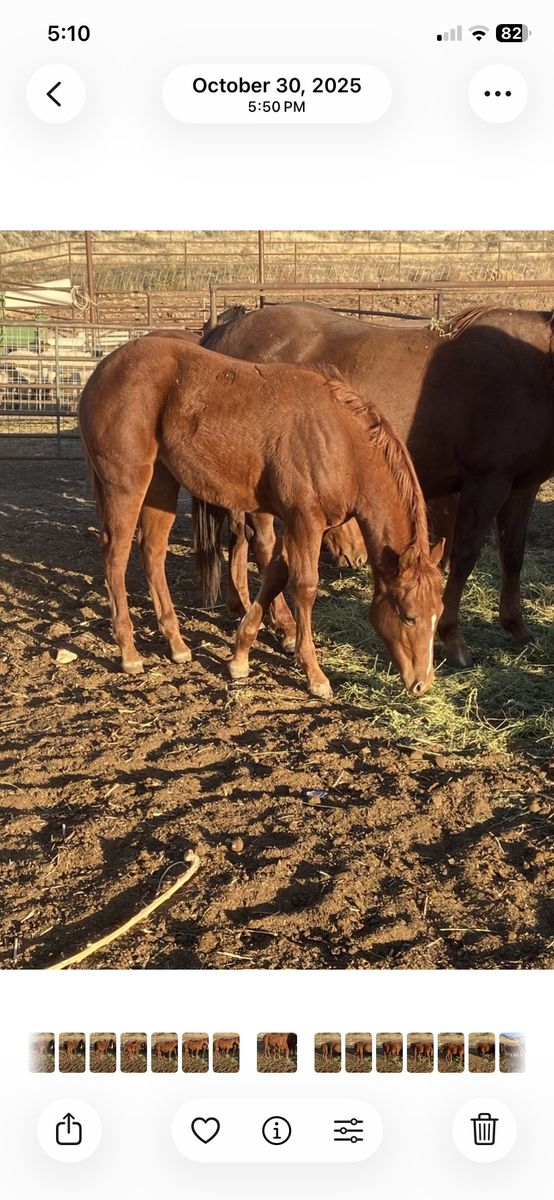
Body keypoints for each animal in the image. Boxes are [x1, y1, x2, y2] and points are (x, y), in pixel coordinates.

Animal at [78, 337, 444, 699]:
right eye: (409, 617)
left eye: (437, 615)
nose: (422, 683)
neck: (339, 441)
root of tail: (103, 370)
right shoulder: (304, 523)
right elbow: (304, 587)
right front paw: (314, 673)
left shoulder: (293, 525)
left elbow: (274, 577)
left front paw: (240, 657)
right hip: (126, 484)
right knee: (116, 556)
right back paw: (129, 652)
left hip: (162, 483)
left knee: (153, 551)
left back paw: (177, 644)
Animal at [202, 302, 554, 667]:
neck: (531, 373)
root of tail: (224, 333)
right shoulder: (486, 482)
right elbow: (465, 556)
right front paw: (453, 638)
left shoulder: (522, 486)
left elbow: (512, 554)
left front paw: (517, 627)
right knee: (264, 546)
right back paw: (284, 625)